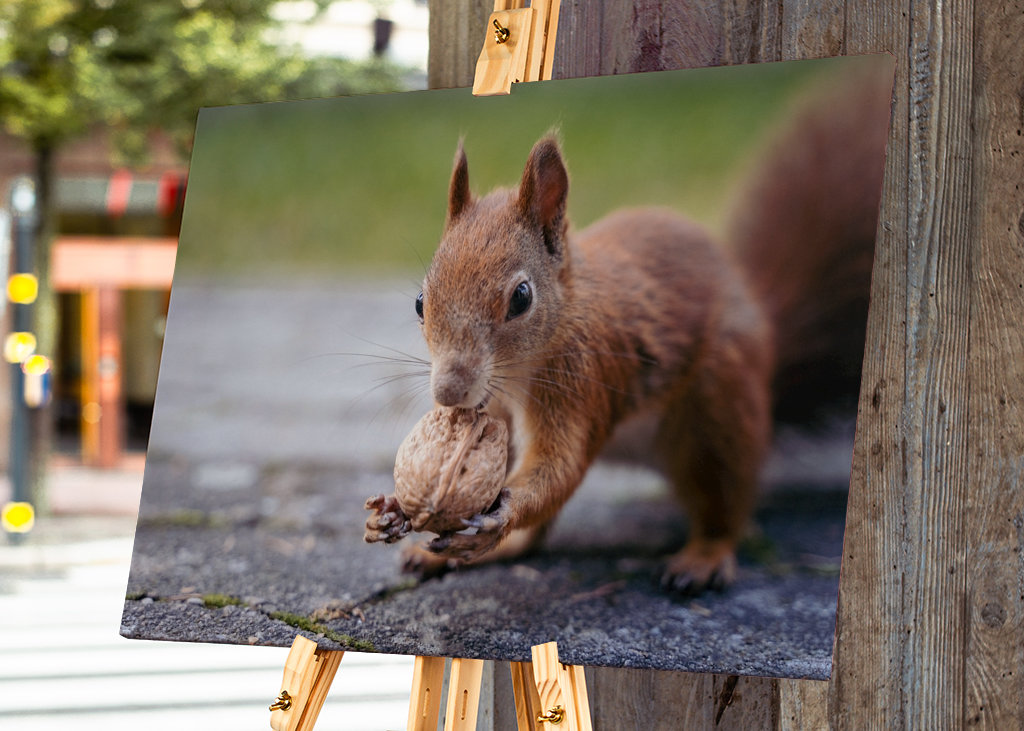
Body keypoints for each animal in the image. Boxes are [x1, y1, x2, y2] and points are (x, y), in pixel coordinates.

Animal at [367, 61, 893, 595]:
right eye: (420, 302)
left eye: (521, 298)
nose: (448, 393)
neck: (519, 372)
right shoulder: (493, 412)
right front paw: (395, 509)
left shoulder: (582, 379)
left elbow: (560, 468)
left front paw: (500, 514)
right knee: (537, 540)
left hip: (719, 405)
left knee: (725, 504)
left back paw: (703, 557)